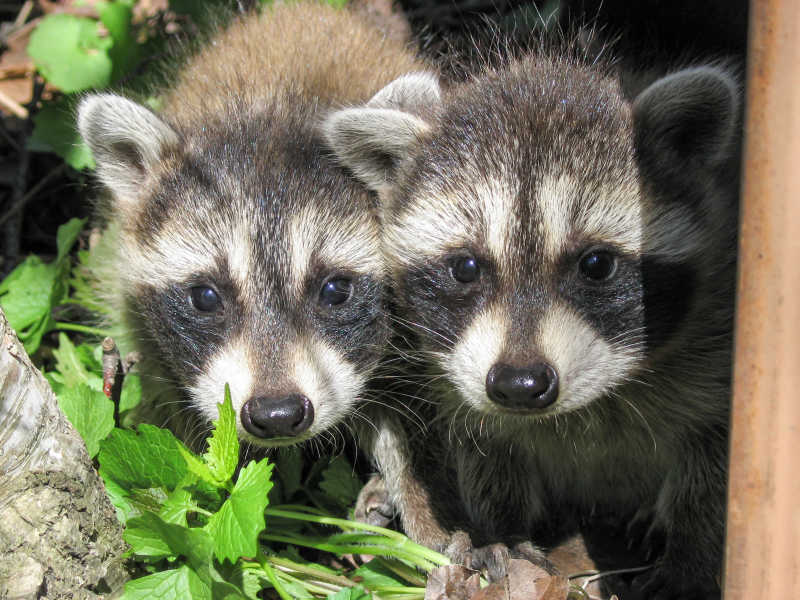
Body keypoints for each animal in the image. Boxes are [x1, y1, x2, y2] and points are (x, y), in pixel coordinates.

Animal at [324, 54, 736, 596]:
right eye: (466, 267)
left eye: (597, 264)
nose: (519, 385)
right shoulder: (457, 378)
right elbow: (485, 449)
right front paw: (502, 528)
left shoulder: (718, 334)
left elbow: (714, 464)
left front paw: (692, 556)